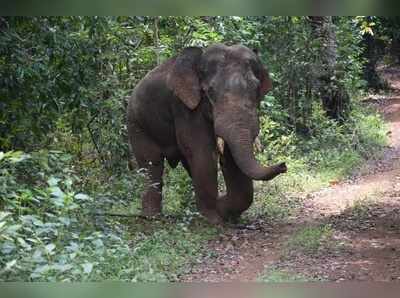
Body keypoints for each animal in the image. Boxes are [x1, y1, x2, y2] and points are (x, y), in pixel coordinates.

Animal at [126, 42, 286, 224]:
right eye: (210, 91)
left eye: (256, 89)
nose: (283, 165)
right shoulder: (184, 106)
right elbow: (201, 152)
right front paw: (214, 220)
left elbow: (230, 158)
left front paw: (225, 213)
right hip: (136, 124)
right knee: (151, 164)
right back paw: (152, 218)